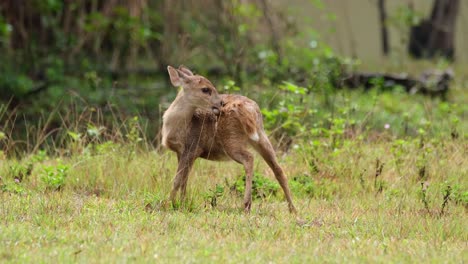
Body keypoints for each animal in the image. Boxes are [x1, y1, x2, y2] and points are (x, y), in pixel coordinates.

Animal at [163, 65, 296, 214]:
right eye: (205, 89)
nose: (221, 103)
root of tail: (249, 108)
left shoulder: (192, 147)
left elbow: (177, 179)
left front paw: (169, 204)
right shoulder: (182, 152)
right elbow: (184, 180)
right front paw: (182, 204)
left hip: (231, 140)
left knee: (249, 158)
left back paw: (247, 204)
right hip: (260, 135)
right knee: (278, 169)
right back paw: (292, 209)